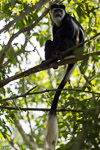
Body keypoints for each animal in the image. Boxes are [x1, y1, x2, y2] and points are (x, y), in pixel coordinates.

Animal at [44, 3, 85, 150]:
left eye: (61, 11)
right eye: (56, 10)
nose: (58, 13)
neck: (60, 22)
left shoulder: (67, 19)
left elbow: (70, 32)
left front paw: (61, 33)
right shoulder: (55, 25)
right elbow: (53, 35)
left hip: (73, 47)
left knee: (62, 39)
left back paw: (64, 55)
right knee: (49, 42)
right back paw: (51, 61)